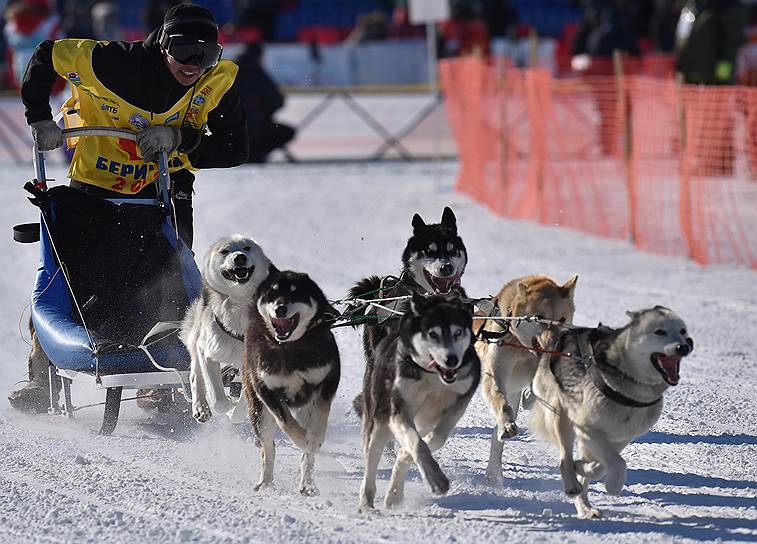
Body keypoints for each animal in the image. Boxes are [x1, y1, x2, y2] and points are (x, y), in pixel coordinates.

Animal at [179, 234, 272, 424]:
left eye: (247, 248)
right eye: (225, 251)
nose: (239, 257)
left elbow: (244, 405)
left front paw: (235, 410)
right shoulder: (207, 352)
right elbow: (218, 399)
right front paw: (227, 405)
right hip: (198, 342)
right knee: (195, 376)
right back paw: (201, 407)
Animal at [242, 270, 340, 496]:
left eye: (296, 293)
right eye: (272, 293)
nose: (280, 308)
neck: (290, 348)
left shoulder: (327, 381)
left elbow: (320, 417)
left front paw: (313, 440)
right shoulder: (265, 389)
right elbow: (285, 421)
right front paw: (303, 438)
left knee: (306, 456)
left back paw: (307, 483)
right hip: (258, 410)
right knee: (268, 448)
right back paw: (266, 482)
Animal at [356, 292, 478, 512]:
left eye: (457, 332)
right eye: (433, 334)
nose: (451, 360)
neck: (434, 376)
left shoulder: (457, 404)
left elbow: (435, 439)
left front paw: (409, 458)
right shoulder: (398, 411)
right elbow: (417, 444)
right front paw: (435, 478)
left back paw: (395, 493)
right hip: (378, 420)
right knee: (371, 458)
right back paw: (366, 501)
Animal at [476, 276, 576, 480]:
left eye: (562, 319)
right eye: (539, 318)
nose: (555, 344)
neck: (523, 349)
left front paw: (529, 396)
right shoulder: (495, 373)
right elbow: (498, 396)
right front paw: (507, 425)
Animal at [528, 306, 692, 520]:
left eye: (682, 332)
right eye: (659, 332)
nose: (684, 347)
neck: (630, 388)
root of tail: (565, 332)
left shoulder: (622, 437)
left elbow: (603, 464)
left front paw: (585, 468)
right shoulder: (586, 428)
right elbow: (618, 463)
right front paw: (613, 485)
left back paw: (585, 507)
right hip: (561, 419)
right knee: (565, 457)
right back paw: (572, 484)